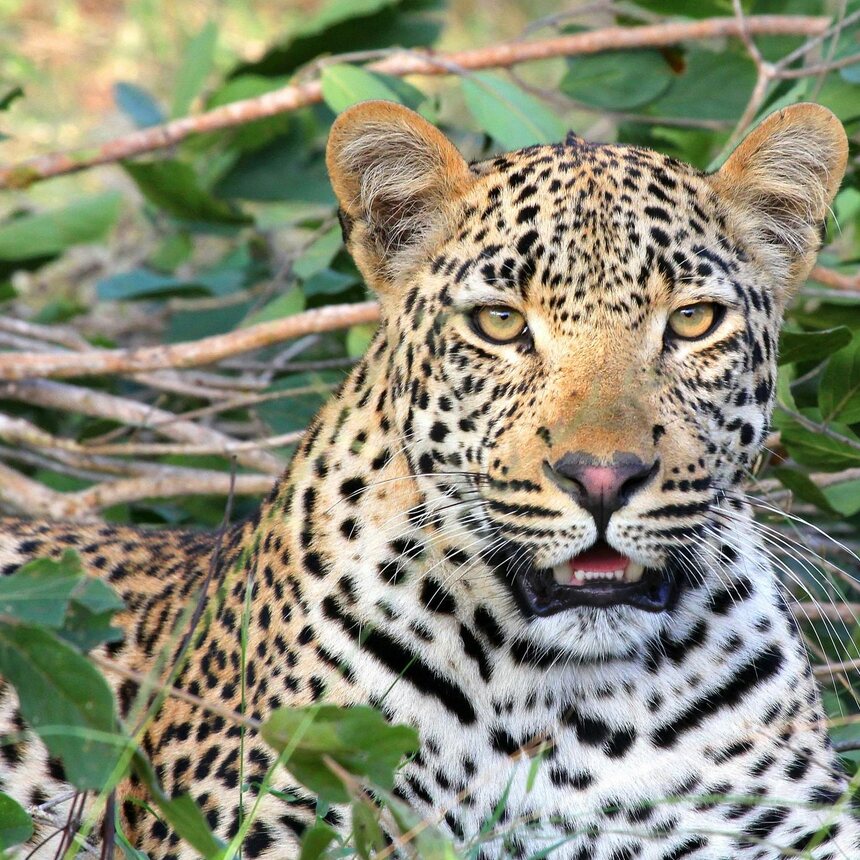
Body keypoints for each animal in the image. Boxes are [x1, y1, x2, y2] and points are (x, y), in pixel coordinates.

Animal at [0, 99, 858, 860]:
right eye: (501, 323)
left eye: (692, 322)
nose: (602, 478)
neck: (573, 708)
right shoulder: (255, 814)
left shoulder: (784, 824)